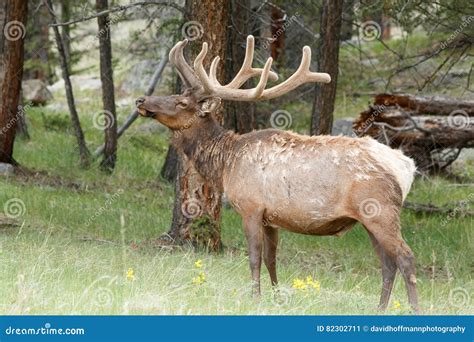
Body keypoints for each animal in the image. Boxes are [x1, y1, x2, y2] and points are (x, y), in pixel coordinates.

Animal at [136, 35, 418, 312]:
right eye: (177, 93)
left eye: (181, 102)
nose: (141, 101)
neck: (226, 163)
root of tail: (407, 166)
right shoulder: (270, 218)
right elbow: (271, 259)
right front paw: (277, 299)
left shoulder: (251, 207)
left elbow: (254, 258)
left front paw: (255, 299)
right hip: (369, 218)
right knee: (388, 264)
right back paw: (379, 309)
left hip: (380, 210)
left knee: (405, 257)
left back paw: (413, 308)